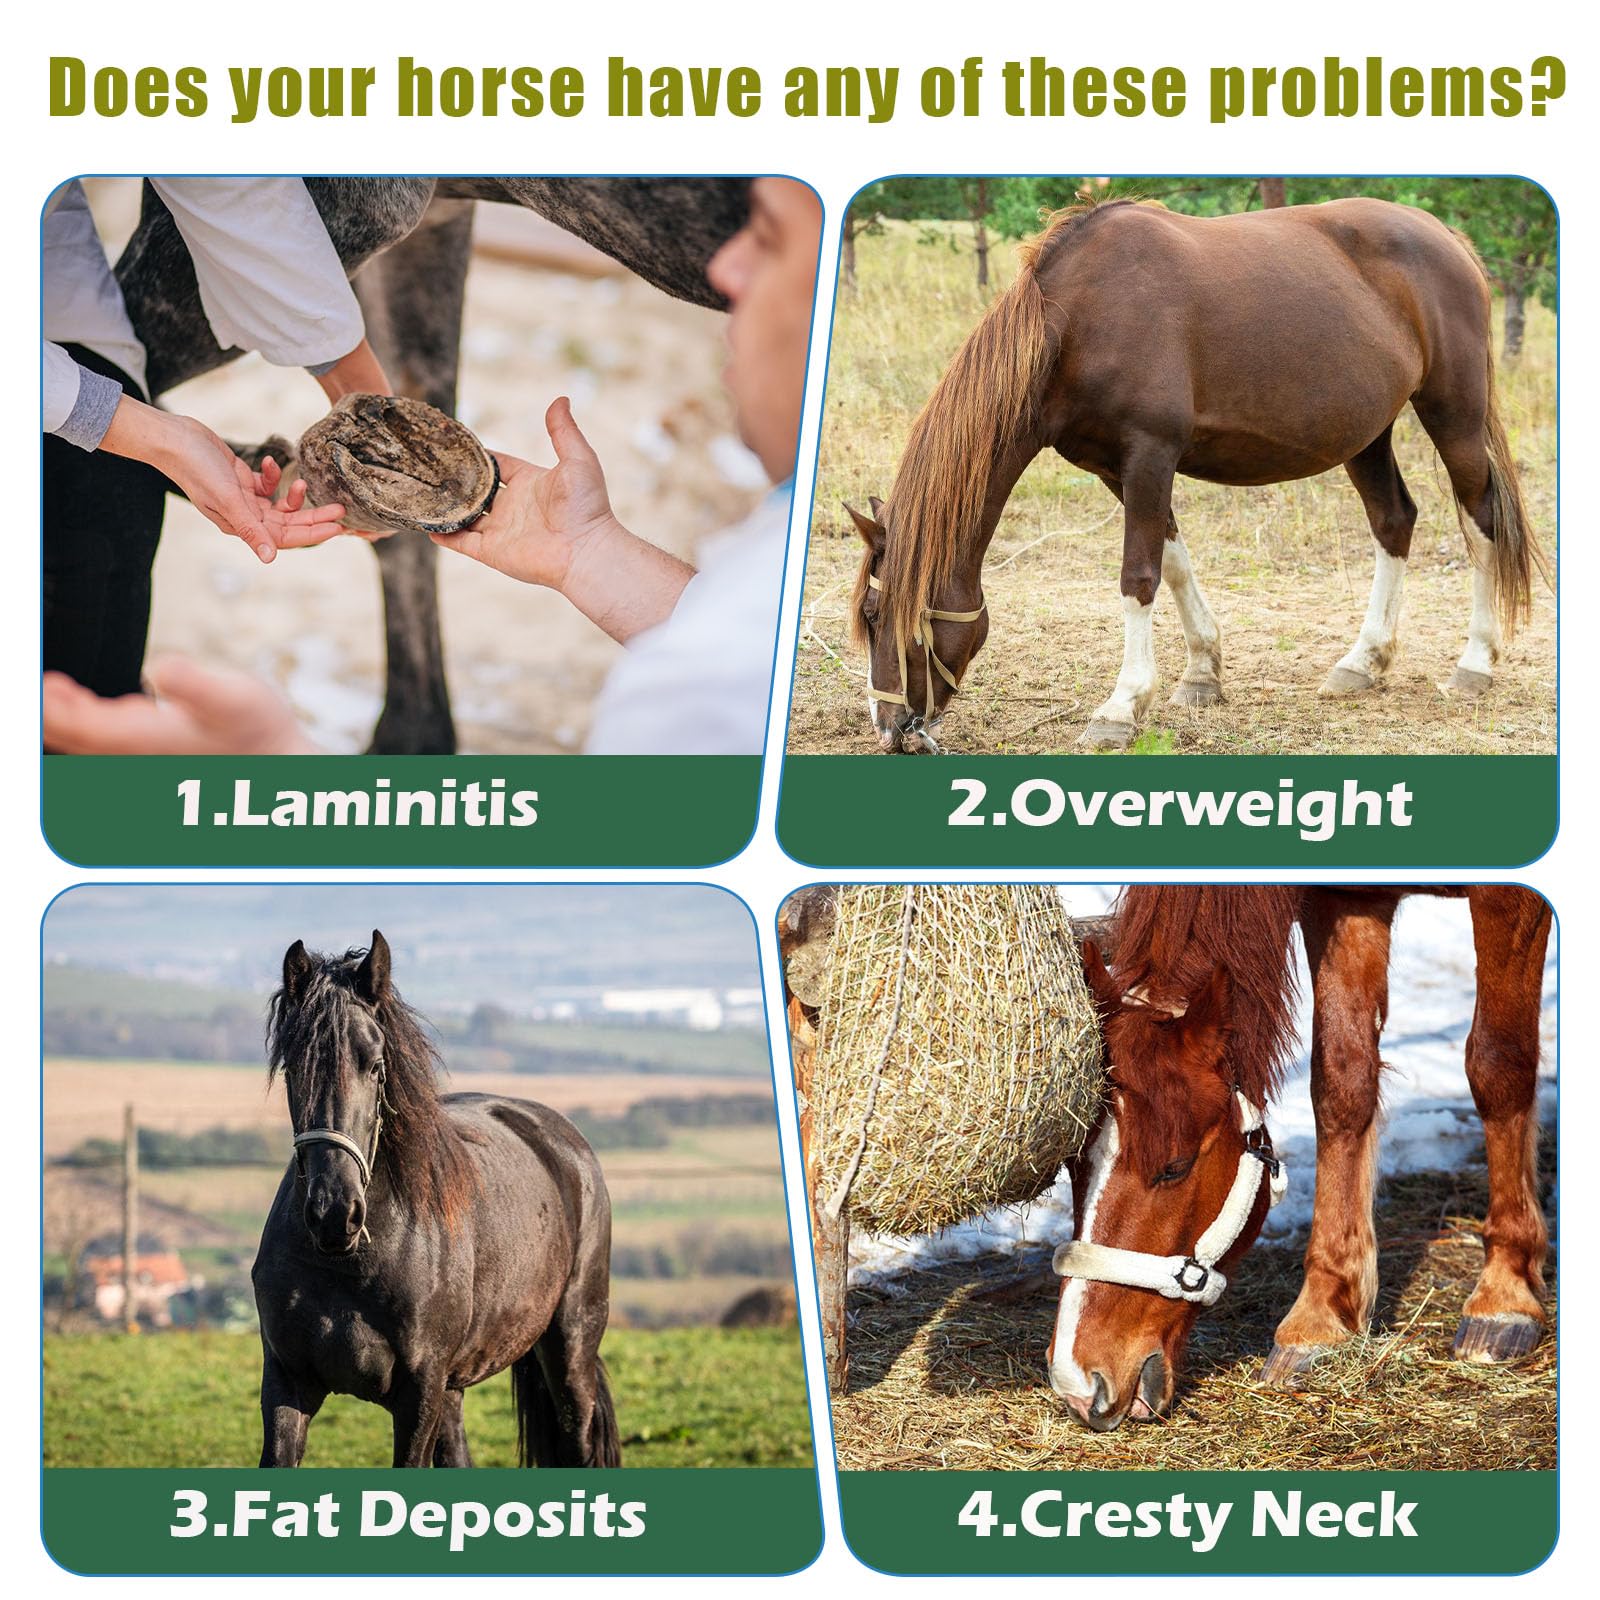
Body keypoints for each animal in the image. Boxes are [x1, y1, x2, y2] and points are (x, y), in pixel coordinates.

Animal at [252, 930, 620, 1467]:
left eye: (375, 1065)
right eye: (294, 1068)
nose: (334, 1213)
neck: (347, 1264)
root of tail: (566, 1143)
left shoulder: (419, 1392)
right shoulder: (287, 1384)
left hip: (570, 1349)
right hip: (455, 1387)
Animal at [846, 196, 1546, 753]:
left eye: (879, 616)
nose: (891, 727)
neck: (1079, 319)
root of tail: (1446, 238)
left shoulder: (1150, 455)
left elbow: (1138, 577)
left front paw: (1121, 706)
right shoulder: (1117, 468)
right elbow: (1174, 561)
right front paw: (1201, 672)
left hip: (1453, 413)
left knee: (1481, 520)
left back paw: (1474, 664)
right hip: (1367, 435)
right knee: (1394, 522)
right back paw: (1363, 662)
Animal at [1046, 884, 1550, 1432]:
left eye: (1174, 1167)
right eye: (1074, 1165)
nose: (1078, 1383)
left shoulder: (1507, 902)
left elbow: (1498, 1065)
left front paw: (1506, 1290)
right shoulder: (1346, 901)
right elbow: (1341, 1081)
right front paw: (1320, 1316)